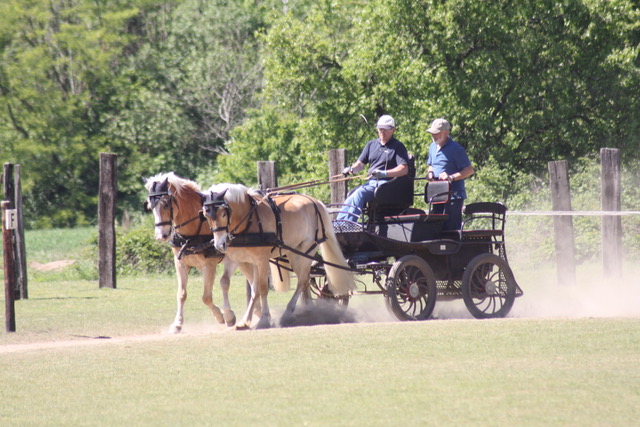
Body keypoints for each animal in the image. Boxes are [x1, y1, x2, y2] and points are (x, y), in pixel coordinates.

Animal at [143, 174, 248, 334]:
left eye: (166, 204)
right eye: (151, 207)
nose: (161, 235)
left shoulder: (209, 266)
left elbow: (206, 297)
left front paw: (221, 316)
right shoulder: (180, 264)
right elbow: (181, 294)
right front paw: (177, 324)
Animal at [200, 182, 356, 330]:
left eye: (223, 214)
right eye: (206, 215)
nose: (219, 245)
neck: (249, 220)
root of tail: (315, 201)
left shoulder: (262, 260)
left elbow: (262, 288)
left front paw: (263, 319)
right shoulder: (237, 259)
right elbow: (232, 284)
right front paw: (237, 319)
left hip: (306, 249)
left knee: (302, 280)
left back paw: (289, 312)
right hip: (294, 252)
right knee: (305, 280)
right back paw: (308, 310)